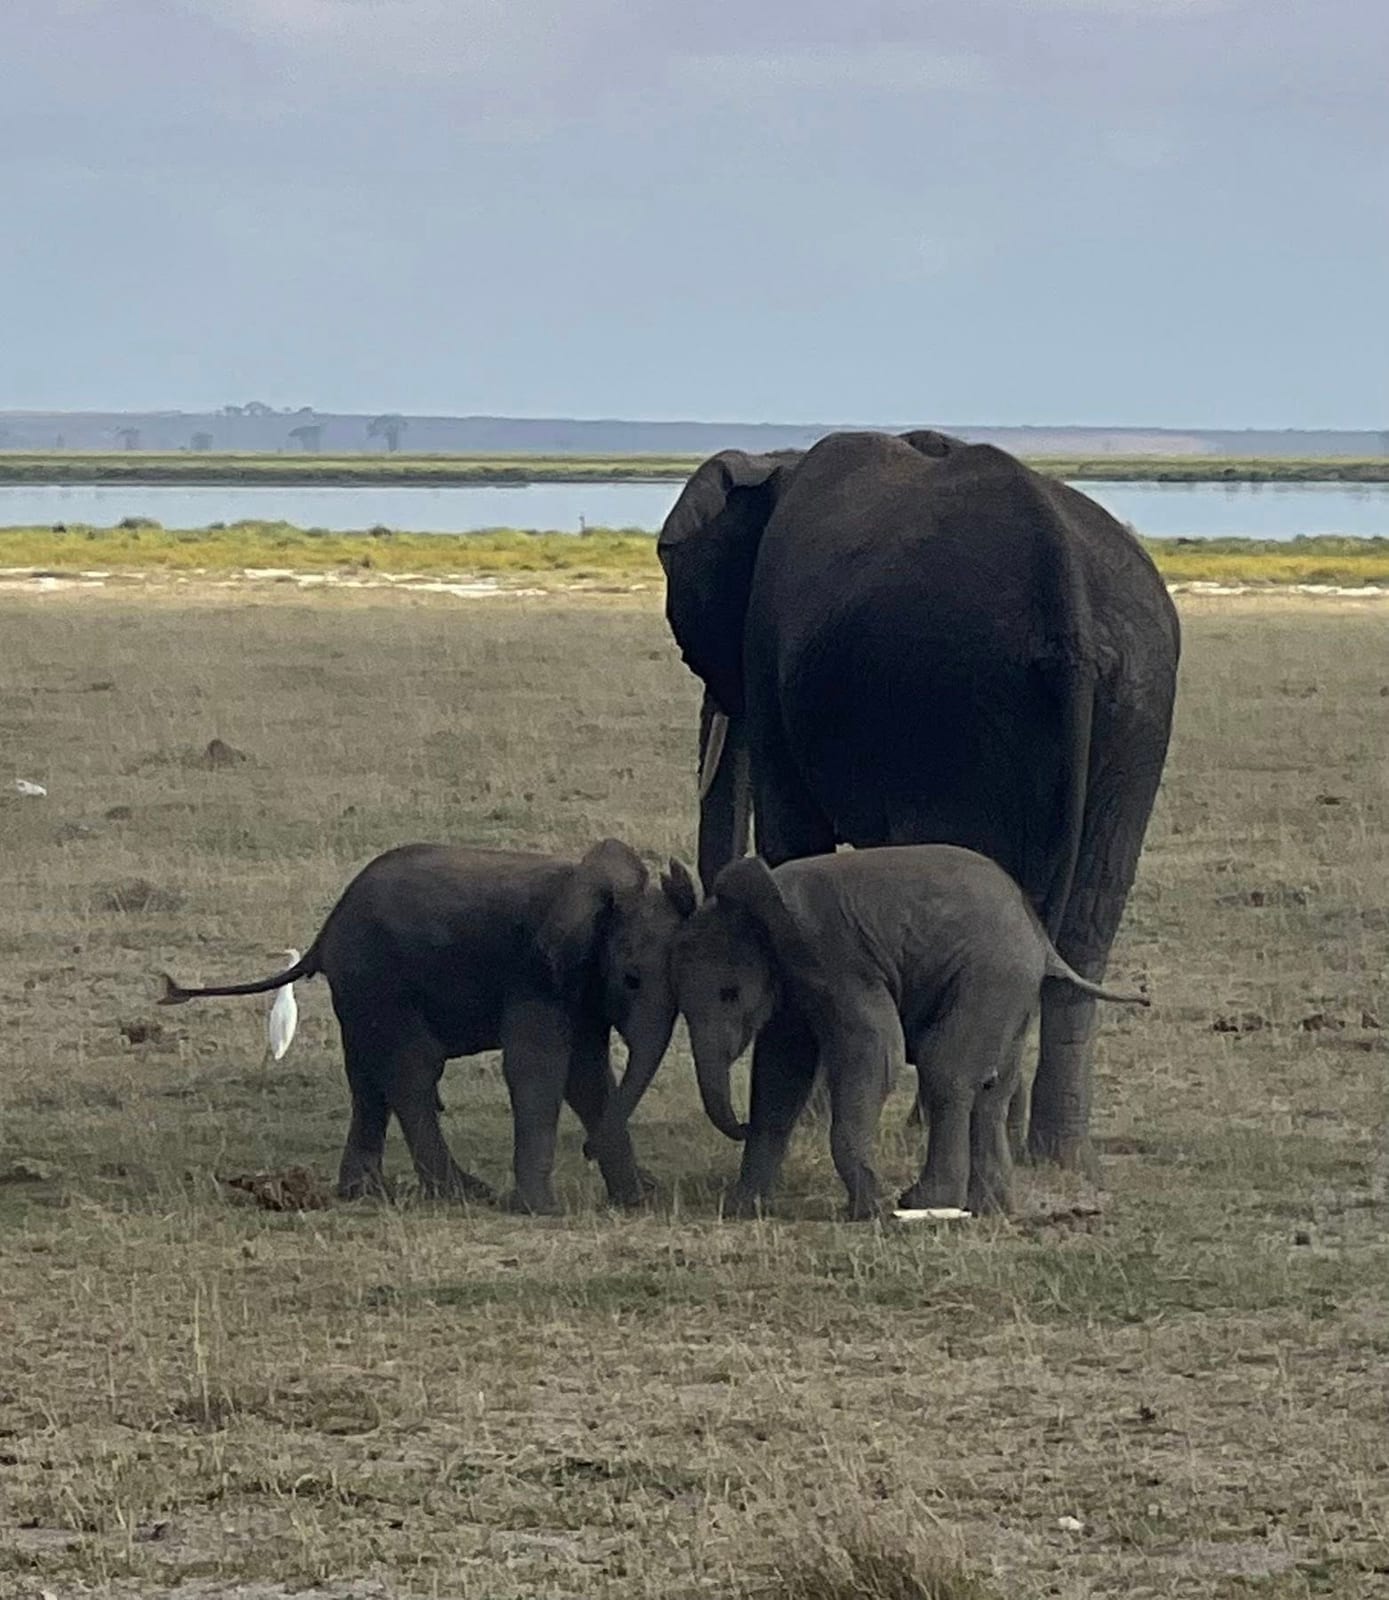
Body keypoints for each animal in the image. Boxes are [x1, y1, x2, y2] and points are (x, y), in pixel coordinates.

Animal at [159, 839, 697, 1212]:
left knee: (368, 1080)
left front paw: (633, 1200)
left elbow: (587, 1077)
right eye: (631, 979)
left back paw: (366, 1194)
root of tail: (325, 932)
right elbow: (537, 1070)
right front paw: (541, 1211)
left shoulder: (578, 982)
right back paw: (463, 1193)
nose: (585, 1151)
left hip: (361, 990)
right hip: (378, 978)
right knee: (412, 1073)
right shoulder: (533, 974)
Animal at [658, 429, 1179, 1172]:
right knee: (1088, 918)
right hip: (1135, 704)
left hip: (963, 706)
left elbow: (795, 842)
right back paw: (1049, 1153)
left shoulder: (768, 651)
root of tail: (1071, 605)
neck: (779, 462)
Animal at [673, 846, 1150, 1220]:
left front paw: (871, 1210)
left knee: (946, 1067)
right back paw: (989, 1208)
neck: (763, 900)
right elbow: (781, 1071)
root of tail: (1042, 938)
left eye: (729, 994)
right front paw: (743, 1209)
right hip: (1013, 990)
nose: (739, 1123)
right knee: (992, 1085)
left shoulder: (835, 957)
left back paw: (924, 1202)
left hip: (991, 975)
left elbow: (875, 1050)